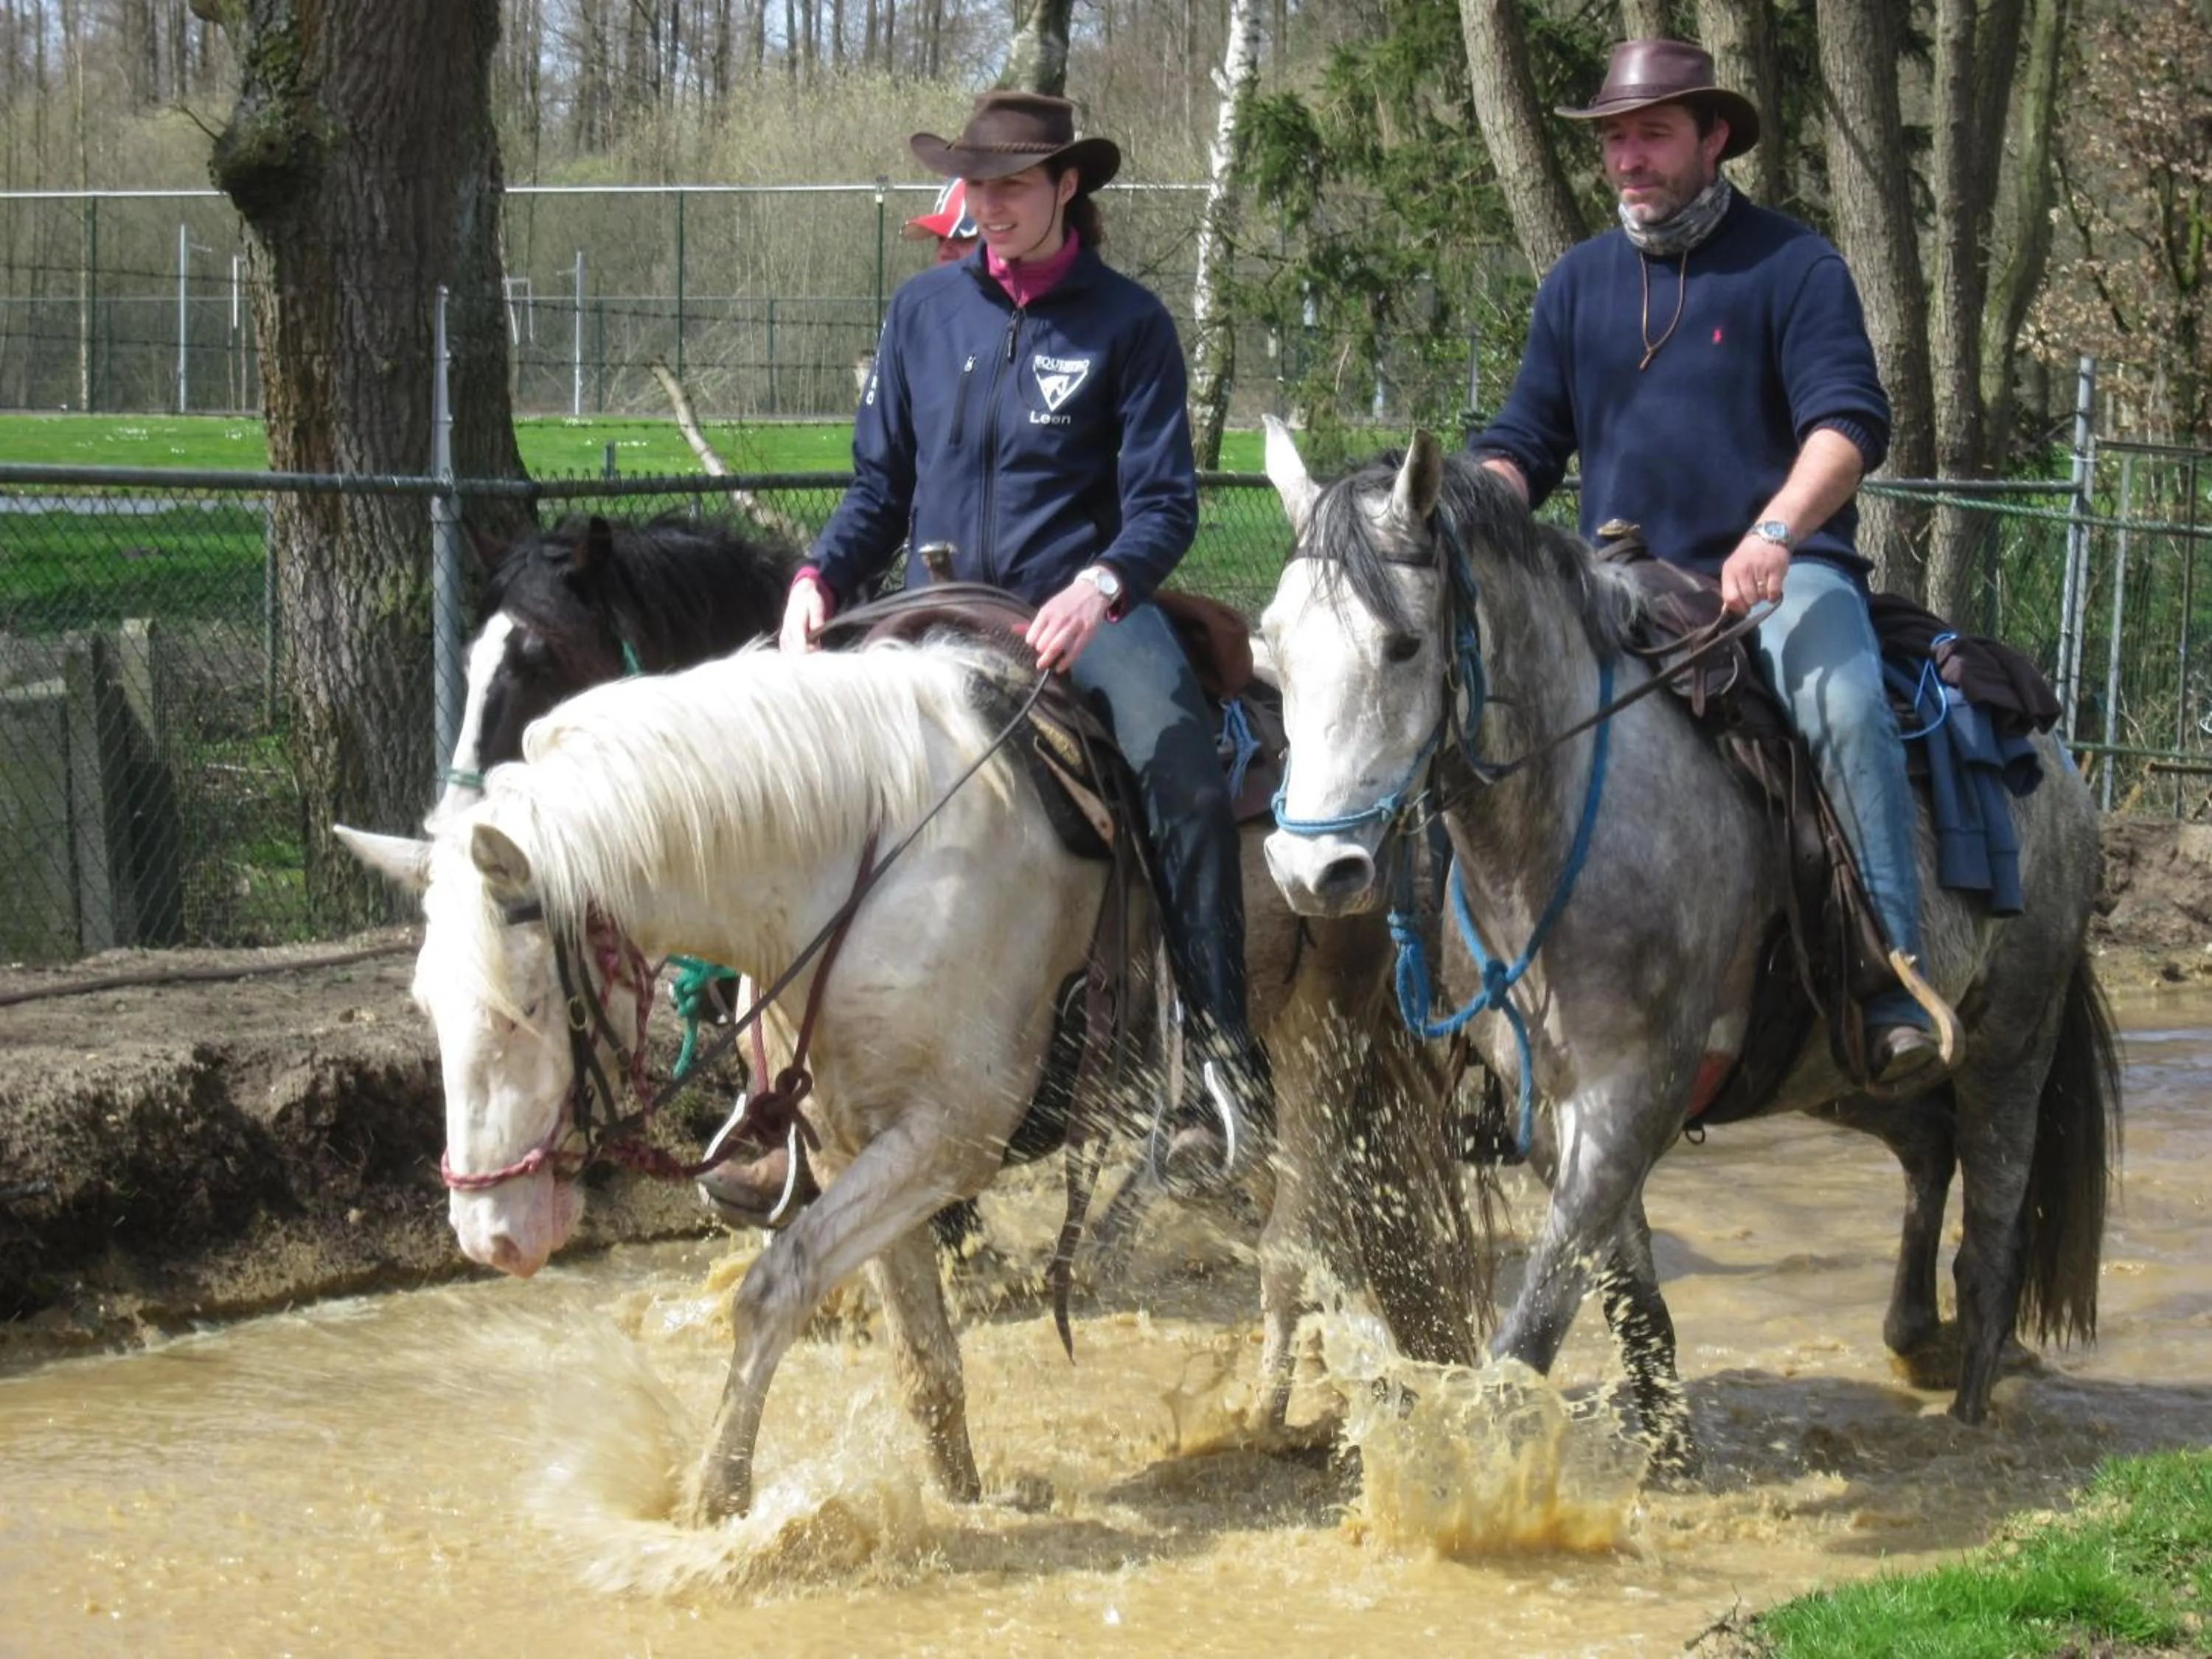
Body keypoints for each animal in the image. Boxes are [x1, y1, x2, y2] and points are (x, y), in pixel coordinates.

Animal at [340, 632, 1484, 1523]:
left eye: (528, 1008)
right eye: (426, 1009)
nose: (492, 1236)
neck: (863, 857)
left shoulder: (946, 1138)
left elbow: (777, 1283)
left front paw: (716, 1497)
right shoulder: (864, 1140)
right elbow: (921, 1349)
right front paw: (959, 1494)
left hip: (1320, 1031)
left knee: (1298, 1229)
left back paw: (1271, 1410)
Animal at [1256, 422, 2119, 1467]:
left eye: (1402, 644)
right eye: (1272, 650)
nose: (1313, 871)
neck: (1564, 831)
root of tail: (2060, 763)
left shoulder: (1628, 1101)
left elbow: (1528, 1337)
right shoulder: (1558, 1119)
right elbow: (1634, 1304)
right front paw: (1668, 1456)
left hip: (2010, 1047)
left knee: (1992, 1234)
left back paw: (1968, 1414)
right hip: (1839, 1070)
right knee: (1928, 1146)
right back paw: (1915, 1337)